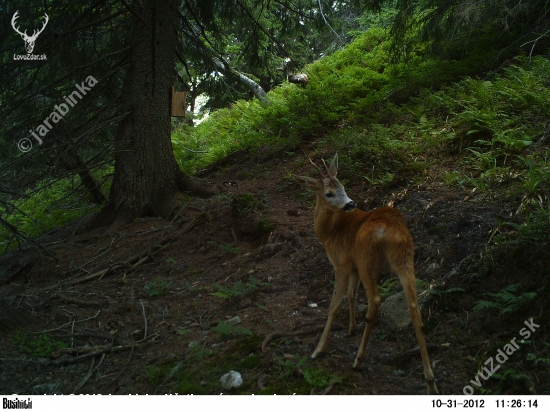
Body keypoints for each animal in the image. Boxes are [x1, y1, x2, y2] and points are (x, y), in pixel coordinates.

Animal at [294, 153, 440, 394]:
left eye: (343, 187)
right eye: (330, 192)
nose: (351, 203)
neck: (329, 232)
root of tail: (389, 230)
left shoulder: (343, 263)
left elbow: (334, 304)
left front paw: (318, 349)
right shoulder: (352, 267)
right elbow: (351, 295)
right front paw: (351, 328)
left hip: (366, 260)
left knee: (375, 299)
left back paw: (358, 360)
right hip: (405, 259)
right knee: (414, 307)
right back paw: (430, 381)